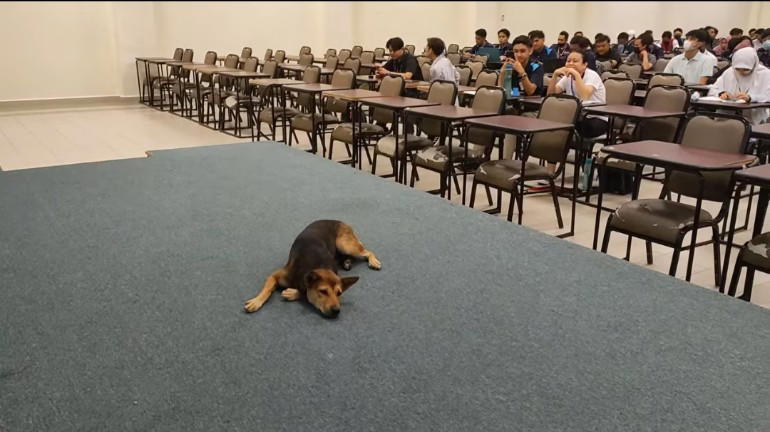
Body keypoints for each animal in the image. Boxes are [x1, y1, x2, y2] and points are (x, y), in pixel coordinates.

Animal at [243, 219, 380, 318]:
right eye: (323, 291)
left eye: (339, 293)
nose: (337, 310)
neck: (320, 265)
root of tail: (341, 221)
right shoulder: (274, 276)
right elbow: (267, 290)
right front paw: (256, 301)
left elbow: (304, 292)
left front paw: (292, 293)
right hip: (344, 245)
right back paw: (351, 262)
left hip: (345, 245)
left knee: (367, 252)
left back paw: (371, 261)